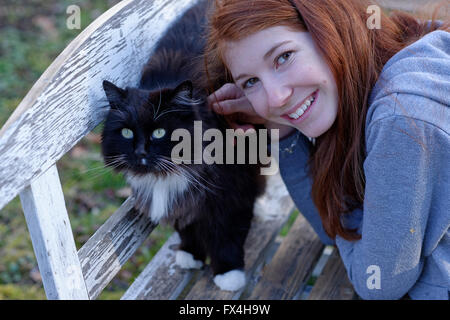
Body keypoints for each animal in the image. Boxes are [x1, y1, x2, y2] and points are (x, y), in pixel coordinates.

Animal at [100, 0, 266, 292]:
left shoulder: (234, 189)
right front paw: (191, 255)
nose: (140, 152)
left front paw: (228, 274)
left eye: (158, 132)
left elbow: (228, 235)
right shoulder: (183, 201)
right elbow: (188, 227)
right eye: (127, 132)